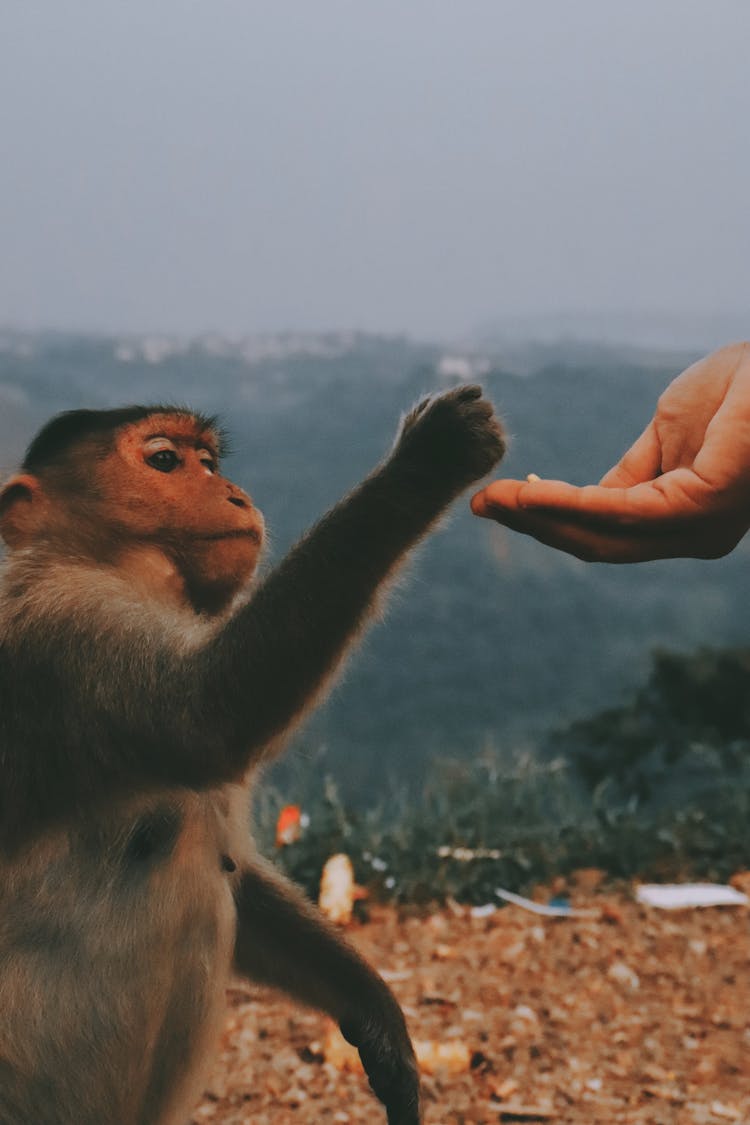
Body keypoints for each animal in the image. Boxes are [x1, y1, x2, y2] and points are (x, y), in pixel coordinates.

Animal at [0, 387, 503, 1125]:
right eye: (165, 460)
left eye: (209, 463)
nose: (234, 493)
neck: (104, 564)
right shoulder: (68, 625)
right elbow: (205, 716)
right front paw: (427, 461)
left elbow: (239, 870)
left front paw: (376, 1016)